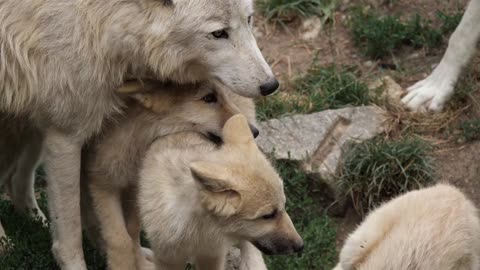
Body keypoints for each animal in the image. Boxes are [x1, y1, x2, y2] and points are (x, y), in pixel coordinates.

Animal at [0, 0, 276, 268]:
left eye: (249, 19)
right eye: (218, 33)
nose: (271, 85)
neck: (101, 20)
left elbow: (108, 221)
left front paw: (125, 256)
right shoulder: (66, 135)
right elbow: (71, 228)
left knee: (15, 179)